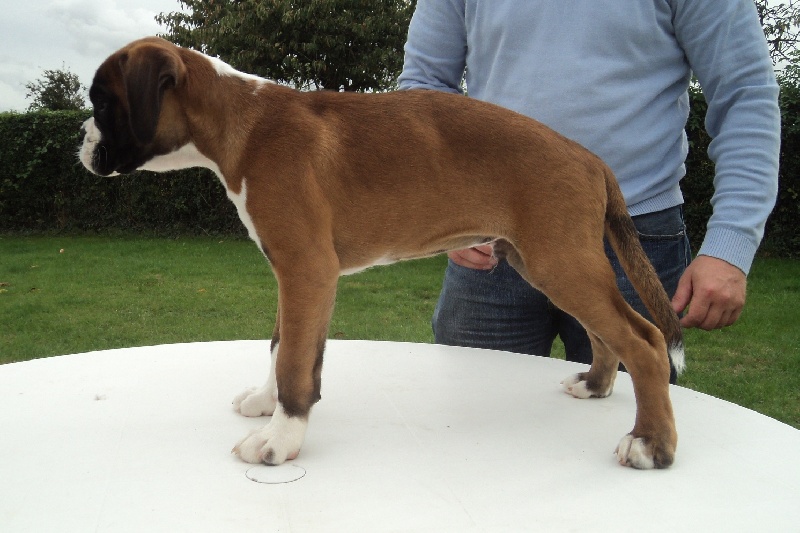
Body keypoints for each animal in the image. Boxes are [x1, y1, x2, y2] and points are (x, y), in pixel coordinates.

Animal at [79, 37, 684, 469]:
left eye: (103, 103)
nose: (78, 139)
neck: (242, 123)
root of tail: (588, 155)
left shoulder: (307, 270)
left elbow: (295, 361)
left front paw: (280, 440)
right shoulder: (292, 273)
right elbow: (280, 345)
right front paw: (267, 403)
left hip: (561, 261)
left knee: (645, 341)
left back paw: (650, 443)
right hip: (547, 262)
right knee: (610, 332)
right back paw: (596, 385)